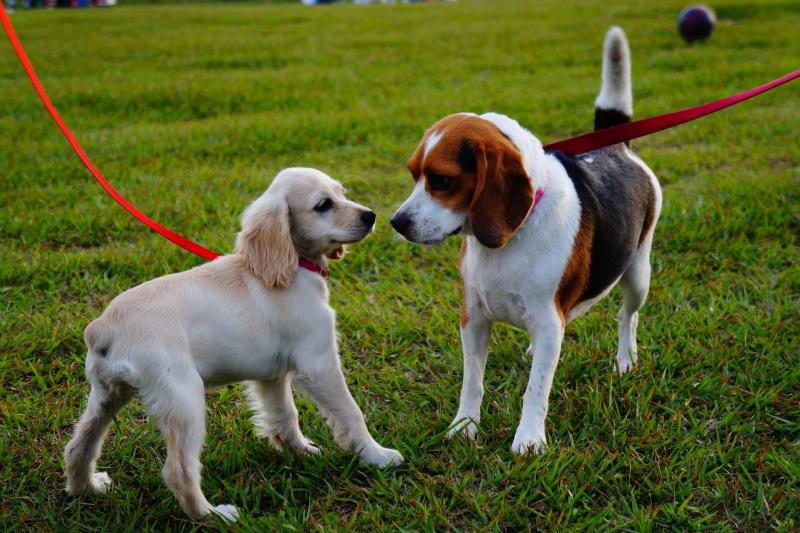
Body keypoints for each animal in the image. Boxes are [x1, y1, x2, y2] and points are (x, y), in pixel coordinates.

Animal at [63, 167, 404, 520]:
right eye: (323, 205)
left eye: (342, 193)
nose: (371, 216)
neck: (293, 267)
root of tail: (103, 327)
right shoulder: (318, 363)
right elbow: (351, 413)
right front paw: (377, 455)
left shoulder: (272, 376)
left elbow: (284, 414)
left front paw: (298, 450)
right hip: (184, 399)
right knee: (178, 470)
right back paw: (213, 515)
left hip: (107, 395)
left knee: (78, 446)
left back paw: (87, 489)